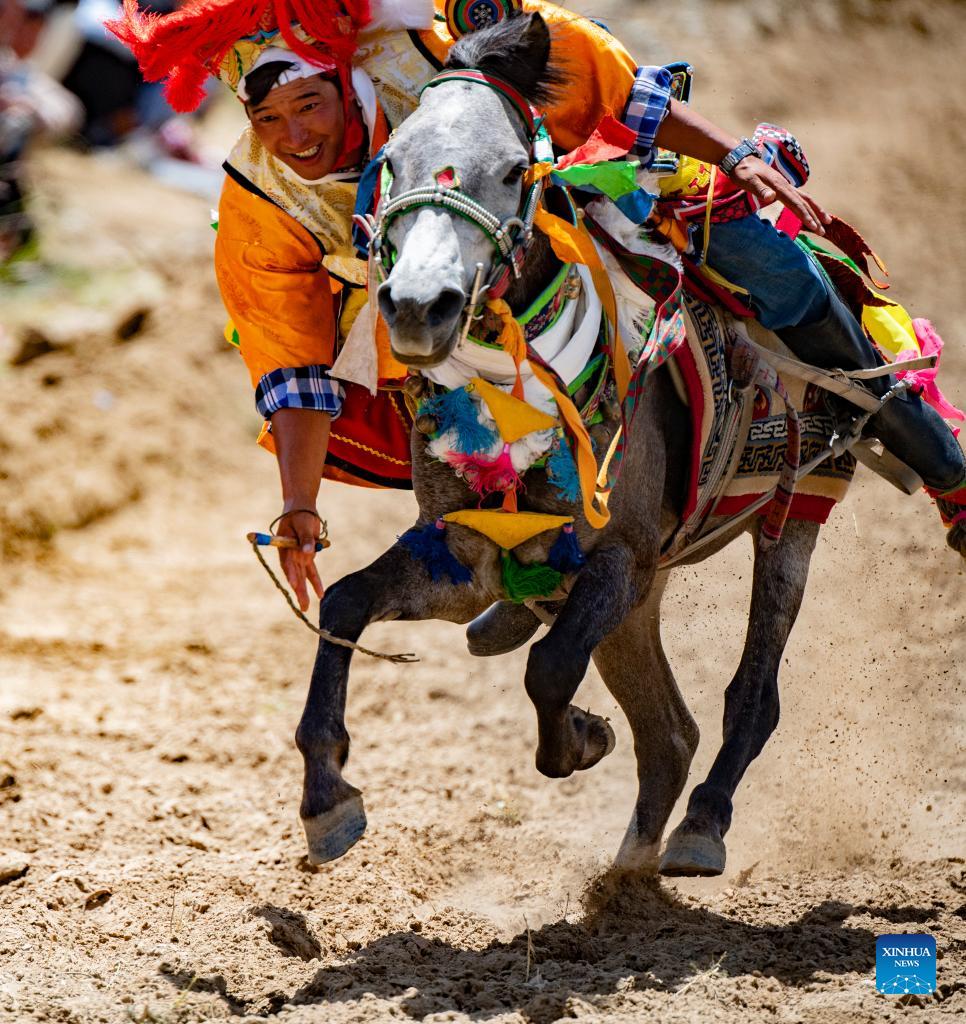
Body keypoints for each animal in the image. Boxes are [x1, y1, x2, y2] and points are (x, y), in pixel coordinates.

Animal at [294, 12, 825, 878]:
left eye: (515, 171)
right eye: (391, 158)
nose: (417, 305)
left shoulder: (620, 555)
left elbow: (549, 671)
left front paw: (578, 739)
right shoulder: (468, 555)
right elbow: (343, 599)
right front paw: (326, 795)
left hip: (797, 510)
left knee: (749, 695)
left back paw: (700, 826)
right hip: (640, 601)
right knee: (669, 732)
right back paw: (629, 872)